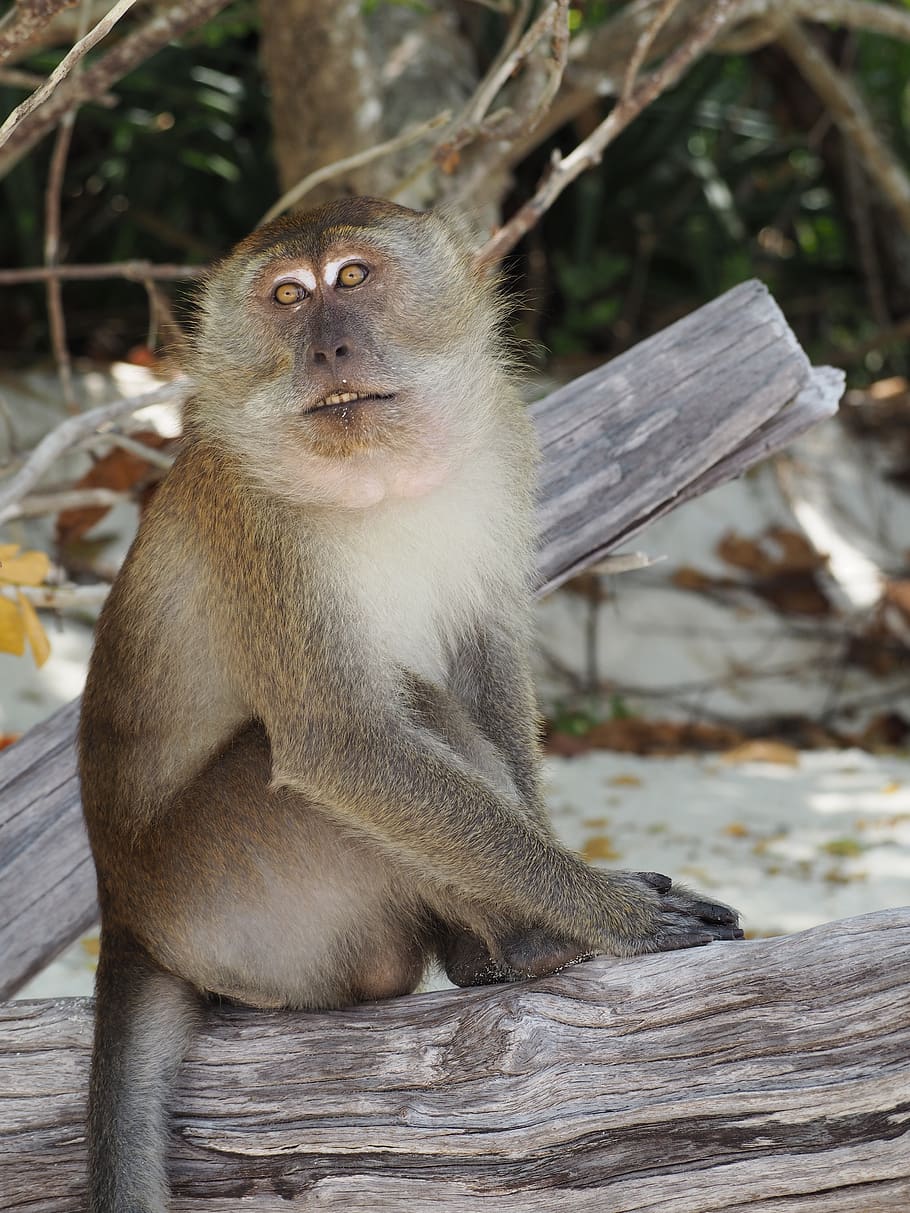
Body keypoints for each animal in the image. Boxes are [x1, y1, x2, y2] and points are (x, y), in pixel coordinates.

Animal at [79, 196, 743, 1212]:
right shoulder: (254, 523)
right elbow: (343, 747)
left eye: (352, 277)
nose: (328, 347)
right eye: (287, 296)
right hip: (236, 896)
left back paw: (487, 952)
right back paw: (530, 942)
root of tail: (127, 915)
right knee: (380, 731)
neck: (372, 474)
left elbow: (483, 657)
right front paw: (608, 915)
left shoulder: (503, 448)